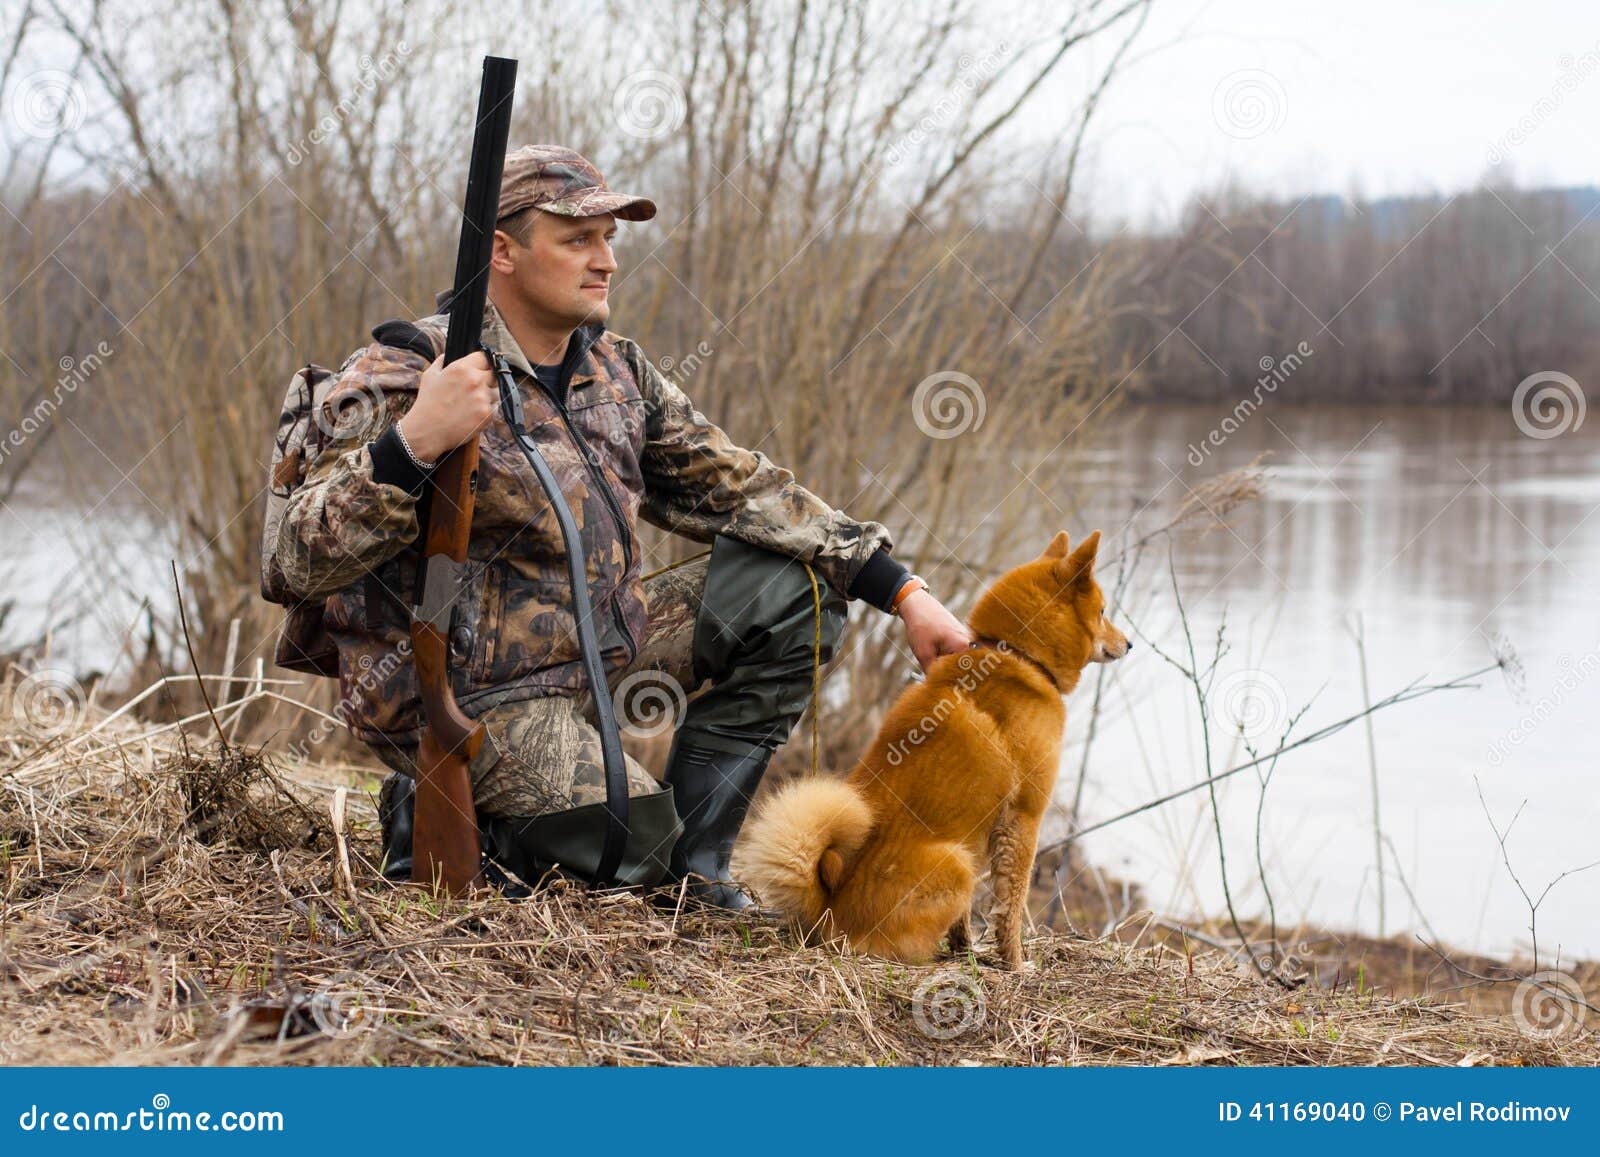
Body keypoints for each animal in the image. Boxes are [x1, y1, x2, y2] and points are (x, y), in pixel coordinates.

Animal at [739, 531, 1129, 970]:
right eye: (1102, 611)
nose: (1129, 643)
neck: (1017, 653)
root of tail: (828, 909)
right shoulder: (1023, 820)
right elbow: (1010, 907)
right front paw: (1014, 963)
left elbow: (968, 919)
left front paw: (967, 950)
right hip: (955, 863)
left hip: (962, 857)